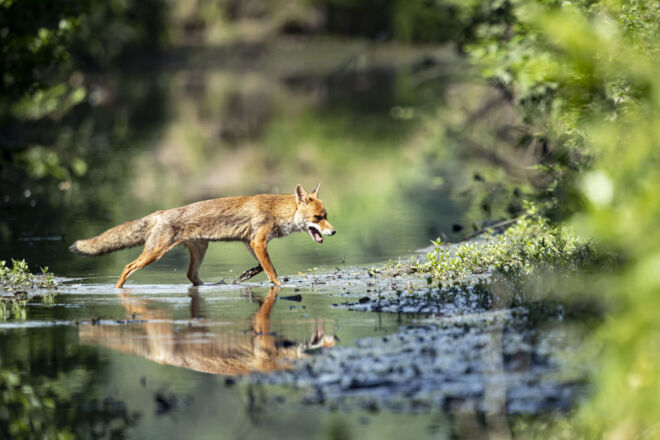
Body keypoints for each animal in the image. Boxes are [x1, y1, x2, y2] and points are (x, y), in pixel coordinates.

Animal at [69, 184, 336, 288]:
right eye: (317, 218)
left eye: (326, 215)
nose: (333, 231)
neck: (277, 211)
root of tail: (160, 213)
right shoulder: (258, 241)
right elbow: (271, 270)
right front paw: (278, 284)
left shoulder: (250, 242)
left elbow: (261, 266)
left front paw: (246, 275)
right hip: (154, 254)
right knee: (127, 267)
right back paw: (117, 290)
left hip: (200, 251)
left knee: (191, 276)